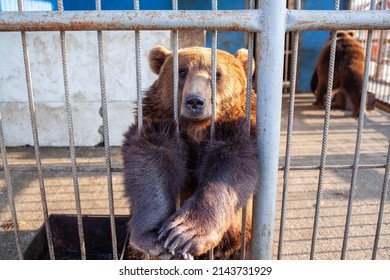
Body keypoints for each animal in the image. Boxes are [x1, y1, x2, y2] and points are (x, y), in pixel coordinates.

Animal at [120, 45, 258, 260]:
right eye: (182, 71)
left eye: (217, 74)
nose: (195, 101)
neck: (197, 129)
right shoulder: (158, 125)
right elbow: (151, 166)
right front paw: (153, 236)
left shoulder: (237, 131)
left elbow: (230, 171)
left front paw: (183, 234)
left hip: (240, 242)